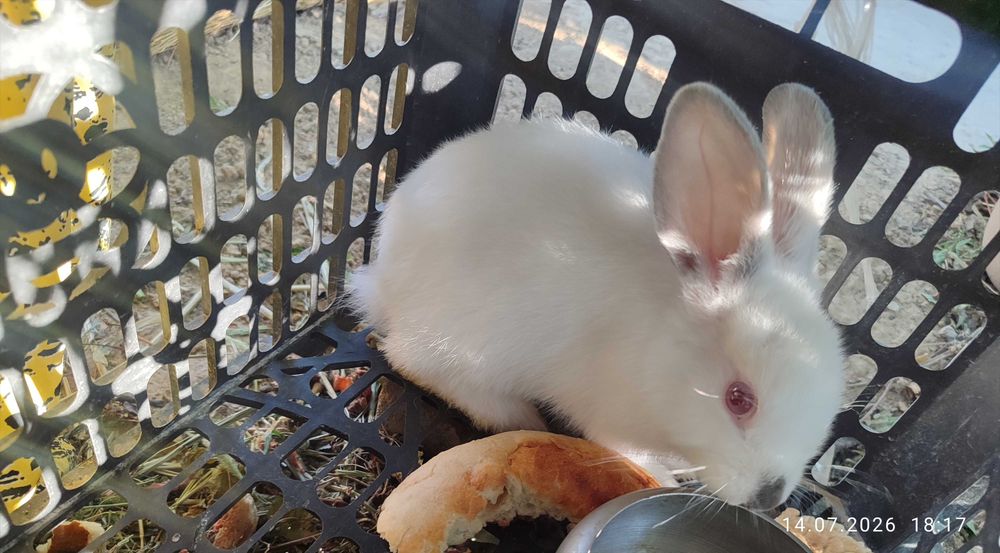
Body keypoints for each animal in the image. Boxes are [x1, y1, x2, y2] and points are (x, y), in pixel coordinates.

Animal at [347, 82, 845, 511]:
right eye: (738, 399)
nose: (769, 497)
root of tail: (382, 274)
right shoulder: (609, 418)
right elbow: (623, 449)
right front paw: (664, 476)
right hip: (463, 340)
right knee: (412, 359)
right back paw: (518, 415)